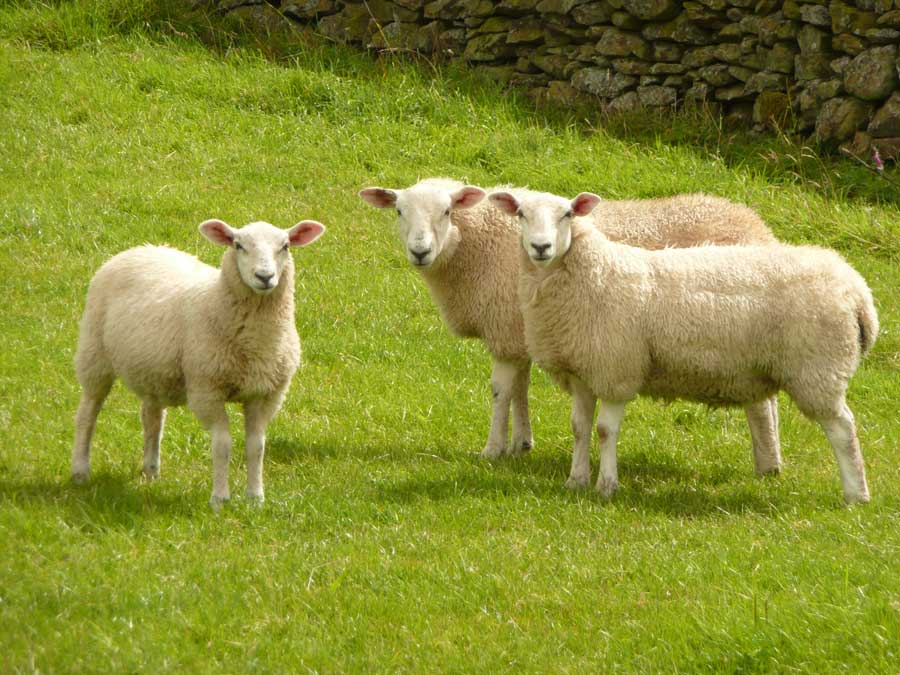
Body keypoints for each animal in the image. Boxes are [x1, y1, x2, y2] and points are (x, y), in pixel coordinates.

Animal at [70, 218, 325, 508]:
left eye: (285, 246)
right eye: (238, 245)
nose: (265, 277)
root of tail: (141, 248)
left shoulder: (265, 394)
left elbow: (256, 446)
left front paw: (255, 498)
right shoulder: (207, 390)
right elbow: (222, 445)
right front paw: (220, 499)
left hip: (153, 371)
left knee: (151, 418)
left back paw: (151, 470)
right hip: (94, 354)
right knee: (87, 414)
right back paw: (80, 470)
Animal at [359, 179, 781, 473]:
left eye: (447, 211)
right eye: (399, 211)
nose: (419, 251)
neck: (476, 246)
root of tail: (759, 227)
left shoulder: (505, 332)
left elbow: (500, 391)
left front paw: (493, 450)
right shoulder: (525, 333)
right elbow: (521, 389)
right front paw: (521, 444)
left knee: (760, 404)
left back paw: (768, 465)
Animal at [490, 188, 877, 504]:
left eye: (568, 214)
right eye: (521, 214)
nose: (541, 247)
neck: (594, 274)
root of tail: (857, 289)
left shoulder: (618, 369)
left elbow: (605, 430)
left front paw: (607, 486)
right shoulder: (583, 369)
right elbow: (580, 427)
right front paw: (576, 481)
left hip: (818, 368)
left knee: (843, 429)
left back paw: (856, 494)